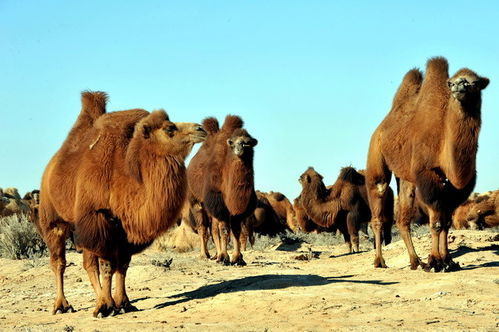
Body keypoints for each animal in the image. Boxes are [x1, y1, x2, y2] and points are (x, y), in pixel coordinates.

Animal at [36, 91, 205, 316]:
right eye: (170, 128)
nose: (200, 128)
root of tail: (51, 166)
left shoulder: (124, 228)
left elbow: (122, 265)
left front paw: (123, 303)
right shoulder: (101, 218)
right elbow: (108, 265)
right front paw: (106, 306)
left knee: (88, 263)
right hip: (54, 219)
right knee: (59, 262)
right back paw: (62, 305)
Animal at [187, 115, 258, 266]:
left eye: (248, 142)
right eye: (232, 142)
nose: (239, 149)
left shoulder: (239, 210)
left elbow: (236, 230)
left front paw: (238, 258)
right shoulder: (219, 203)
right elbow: (224, 230)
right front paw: (225, 257)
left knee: (213, 228)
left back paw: (215, 255)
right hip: (196, 201)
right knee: (203, 228)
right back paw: (205, 255)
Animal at [366, 55, 490, 272]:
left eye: (474, 83)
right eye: (452, 82)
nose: (459, 86)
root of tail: (383, 125)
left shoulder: (457, 186)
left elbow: (447, 222)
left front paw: (449, 261)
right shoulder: (428, 175)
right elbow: (436, 222)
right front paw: (435, 261)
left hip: (406, 177)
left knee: (403, 218)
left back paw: (415, 261)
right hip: (377, 156)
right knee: (378, 206)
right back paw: (380, 261)